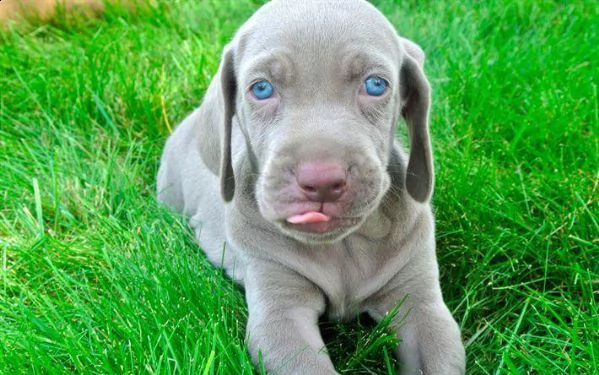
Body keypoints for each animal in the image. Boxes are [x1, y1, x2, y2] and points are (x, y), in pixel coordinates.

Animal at [157, 0, 466, 374]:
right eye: (261, 89)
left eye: (376, 85)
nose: (321, 181)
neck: (342, 246)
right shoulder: (280, 312)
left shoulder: (419, 303)